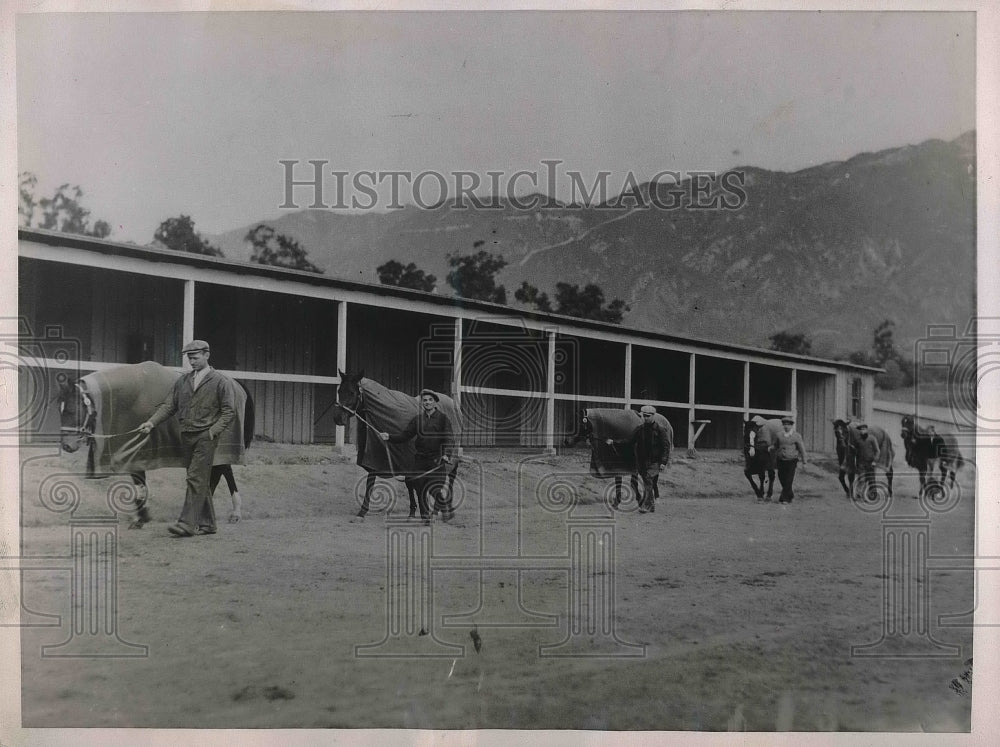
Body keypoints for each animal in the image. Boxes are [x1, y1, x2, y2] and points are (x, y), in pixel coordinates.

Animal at [56, 360, 256, 524]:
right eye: (61, 409)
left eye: (73, 411)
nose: (67, 445)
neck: (130, 399)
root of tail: (236, 385)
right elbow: (139, 484)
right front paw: (142, 514)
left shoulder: (137, 450)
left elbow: (139, 481)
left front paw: (140, 517)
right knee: (221, 470)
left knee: (223, 470)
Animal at [334, 372, 462, 520]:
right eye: (339, 391)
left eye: (352, 392)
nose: (338, 418)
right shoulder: (386, 458)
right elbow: (406, 483)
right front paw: (412, 512)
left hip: (449, 457)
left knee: (449, 476)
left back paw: (443, 511)